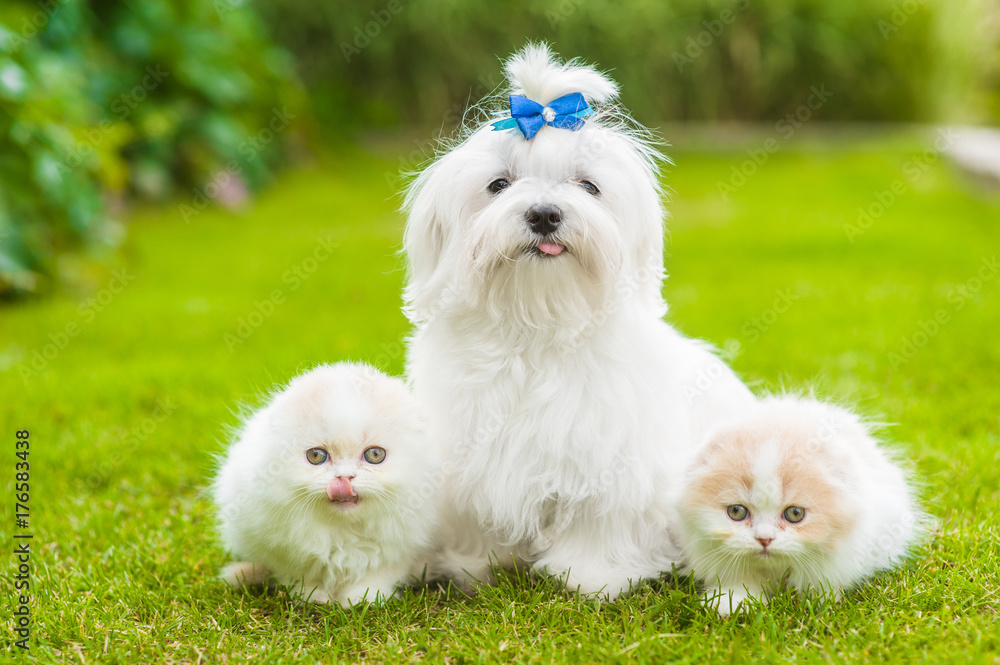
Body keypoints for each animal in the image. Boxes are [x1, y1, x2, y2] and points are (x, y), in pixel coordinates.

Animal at [213, 364, 436, 608]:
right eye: (316, 456)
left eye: (375, 455)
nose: (344, 478)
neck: (343, 531)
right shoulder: (285, 552)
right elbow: (301, 576)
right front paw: (313, 598)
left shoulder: (399, 552)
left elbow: (375, 575)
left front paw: (363, 600)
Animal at [402, 44, 752, 600]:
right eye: (498, 185)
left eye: (588, 186)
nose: (544, 214)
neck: (538, 328)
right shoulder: (471, 452)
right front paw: (476, 567)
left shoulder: (611, 462)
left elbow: (599, 520)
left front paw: (593, 577)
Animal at [676, 392, 924, 616]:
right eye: (736, 512)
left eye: (795, 514)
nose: (764, 539)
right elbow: (741, 581)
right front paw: (733, 602)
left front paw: (820, 602)